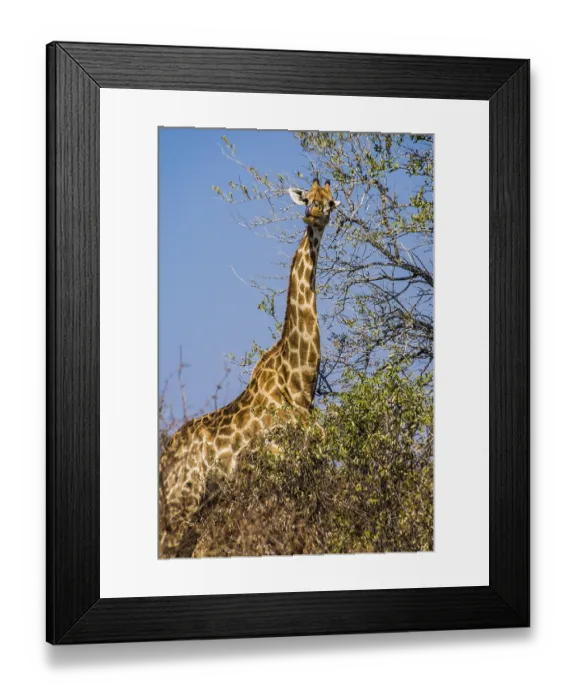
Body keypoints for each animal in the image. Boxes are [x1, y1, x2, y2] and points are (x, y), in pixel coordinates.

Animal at [159, 179, 341, 558]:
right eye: (308, 198)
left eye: (330, 202)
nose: (312, 214)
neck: (298, 385)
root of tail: (163, 460)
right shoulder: (276, 471)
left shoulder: (310, 469)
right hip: (183, 500)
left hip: (199, 504)